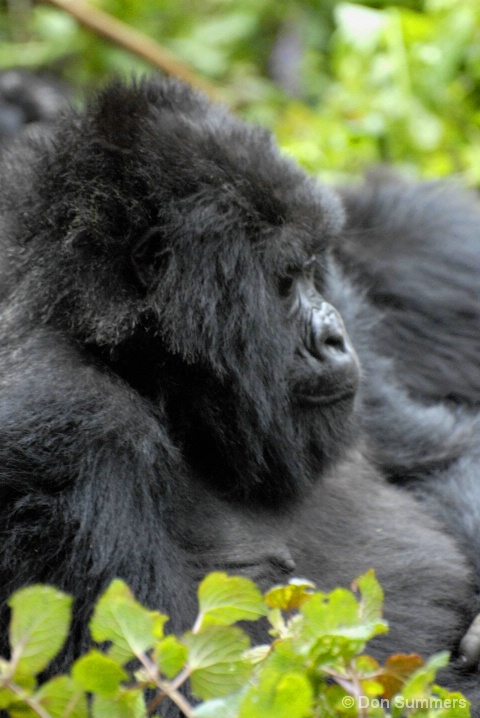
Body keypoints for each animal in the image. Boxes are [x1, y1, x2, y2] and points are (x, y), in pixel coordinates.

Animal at [0, 76, 480, 712]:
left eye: (312, 270)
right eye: (284, 280)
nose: (334, 337)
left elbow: (449, 455)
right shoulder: (61, 422)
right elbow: (164, 686)